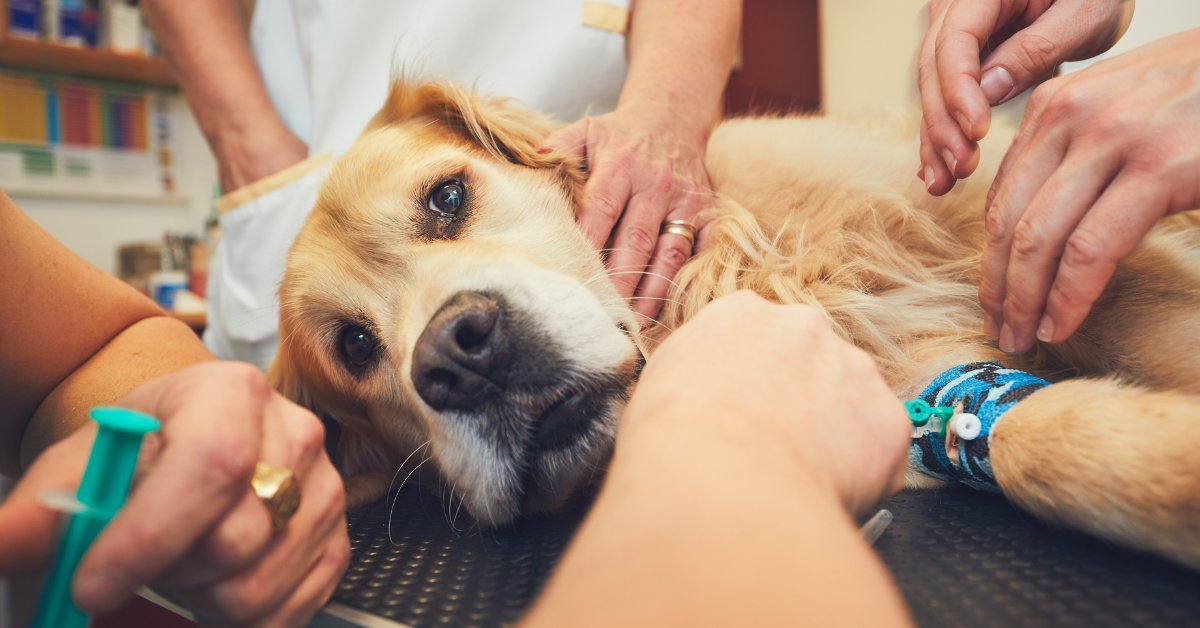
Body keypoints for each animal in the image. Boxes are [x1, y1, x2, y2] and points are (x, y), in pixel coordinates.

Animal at [272, 79, 1200, 569]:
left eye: (446, 198)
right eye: (354, 347)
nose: (460, 358)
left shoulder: (1027, 238)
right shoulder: (923, 397)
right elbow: (1038, 441)